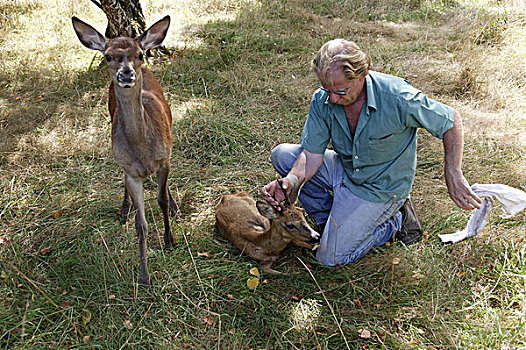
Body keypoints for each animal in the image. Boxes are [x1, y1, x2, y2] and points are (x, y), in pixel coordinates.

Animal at [71, 16, 178, 284]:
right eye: (108, 55)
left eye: (139, 53)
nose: (127, 73)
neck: (143, 150)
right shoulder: (131, 171)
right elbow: (141, 225)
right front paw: (144, 276)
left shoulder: (164, 160)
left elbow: (161, 200)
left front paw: (170, 241)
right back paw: (124, 209)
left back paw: (174, 204)